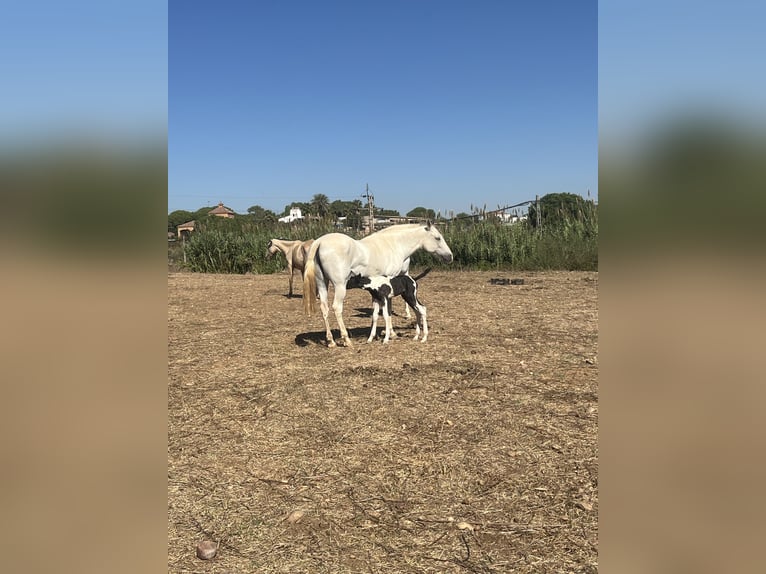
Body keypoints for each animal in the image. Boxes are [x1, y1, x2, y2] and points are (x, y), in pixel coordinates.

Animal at [303, 222, 453, 347]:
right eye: (438, 238)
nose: (450, 256)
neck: (394, 244)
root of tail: (319, 242)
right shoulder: (390, 282)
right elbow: (388, 311)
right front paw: (391, 334)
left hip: (322, 283)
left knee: (325, 308)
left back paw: (331, 341)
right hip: (340, 286)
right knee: (337, 308)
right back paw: (346, 340)